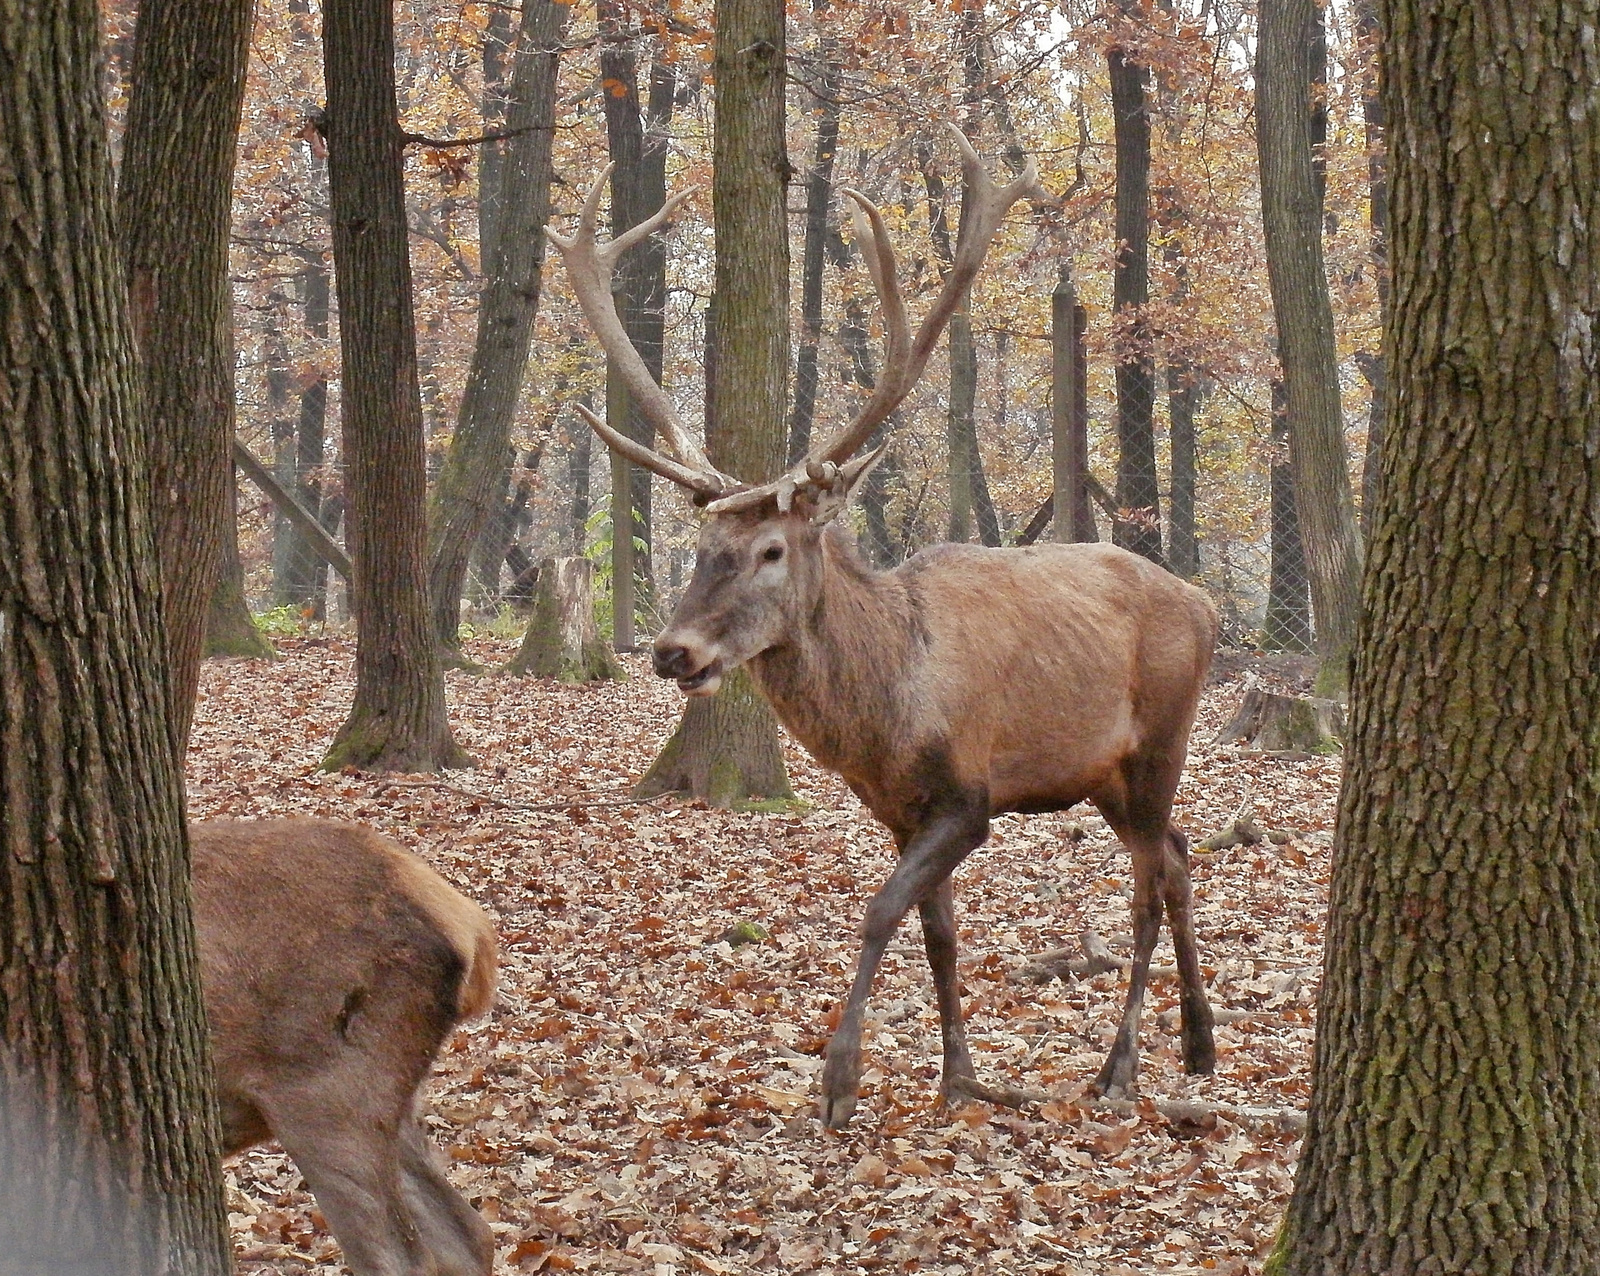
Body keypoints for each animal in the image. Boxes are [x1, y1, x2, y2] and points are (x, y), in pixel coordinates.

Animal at [550, 129, 1209, 1132]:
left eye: (773, 548)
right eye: (701, 547)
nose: (674, 651)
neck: (886, 710)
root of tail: (1207, 605)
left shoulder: (969, 796)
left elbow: (877, 913)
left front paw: (841, 1078)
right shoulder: (897, 809)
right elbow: (939, 933)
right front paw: (956, 1074)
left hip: (1159, 741)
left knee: (1148, 880)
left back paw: (1123, 1067)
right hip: (1103, 774)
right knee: (1174, 856)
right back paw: (1199, 1046)